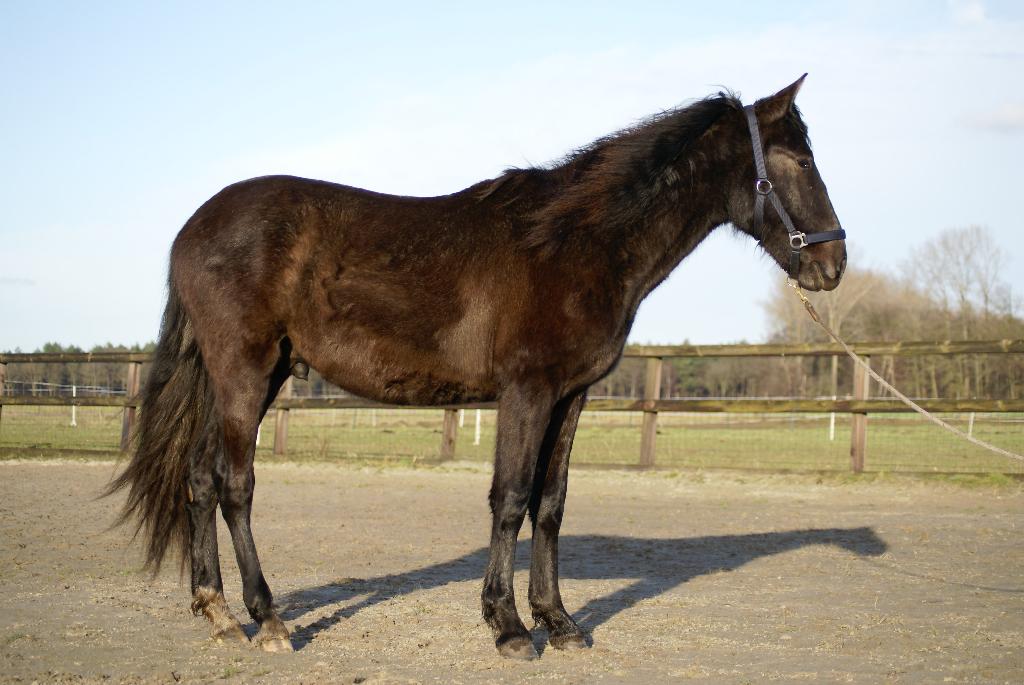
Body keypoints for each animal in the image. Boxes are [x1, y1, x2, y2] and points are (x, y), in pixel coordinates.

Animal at [107, 75, 846, 659]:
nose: (833, 262)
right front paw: (509, 627)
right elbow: (510, 498)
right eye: (796, 158)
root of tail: (192, 228)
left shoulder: (570, 396)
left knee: (199, 477)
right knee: (235, 483)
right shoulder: (526, 390)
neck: (575, 242)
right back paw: (268, 620)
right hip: (246, 372)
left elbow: (551, 504)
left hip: (251, 377)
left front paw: (560, 622)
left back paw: (218, 612)